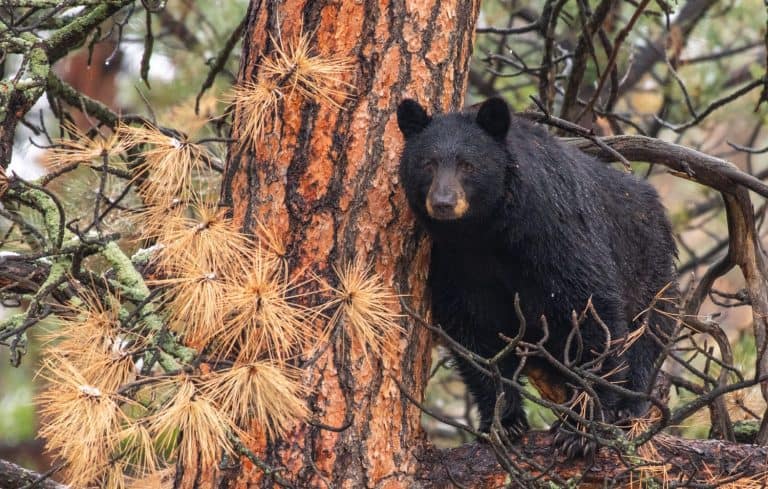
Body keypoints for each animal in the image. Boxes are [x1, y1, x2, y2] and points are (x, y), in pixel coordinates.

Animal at [396, 97, 677, 459]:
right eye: (427, 164)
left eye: (468, 165)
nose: (443, 203)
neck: (488, 231)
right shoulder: (455, 259)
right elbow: (472, 329)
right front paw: (503, 422)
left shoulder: (553, 232)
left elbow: (588, 308)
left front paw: (580, 428)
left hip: (649, 268)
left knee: (647, 334)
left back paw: (629, 409)